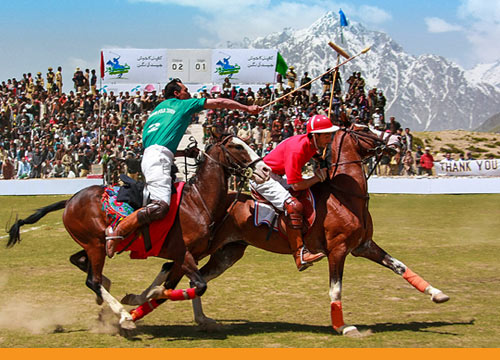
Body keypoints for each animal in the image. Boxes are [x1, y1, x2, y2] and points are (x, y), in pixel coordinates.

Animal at [4, 136, 270, 334]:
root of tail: (70, 200)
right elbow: (196, 285)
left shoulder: (188, 256)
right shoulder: (183, 254)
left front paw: (144, 297)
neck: (197, 202)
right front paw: (148, 298)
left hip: (93, 244)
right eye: (237, 146)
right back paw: (121, 314)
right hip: (96, 246)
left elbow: (177, 281)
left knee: (81, 264)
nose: (265, 169)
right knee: (93, 280)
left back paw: (106, 299)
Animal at [125, 124, 450, 338]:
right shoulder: (338, 250)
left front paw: (438, 294)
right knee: (173, 270)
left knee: (188, 275)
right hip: (204, 247)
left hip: (227, 253)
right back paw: (138, 305)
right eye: (364, 127)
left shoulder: (364, 245)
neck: (346, 195)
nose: (397, 138)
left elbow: (399, 266)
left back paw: (184, 314)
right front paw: (343, 326)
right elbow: (335, 289)